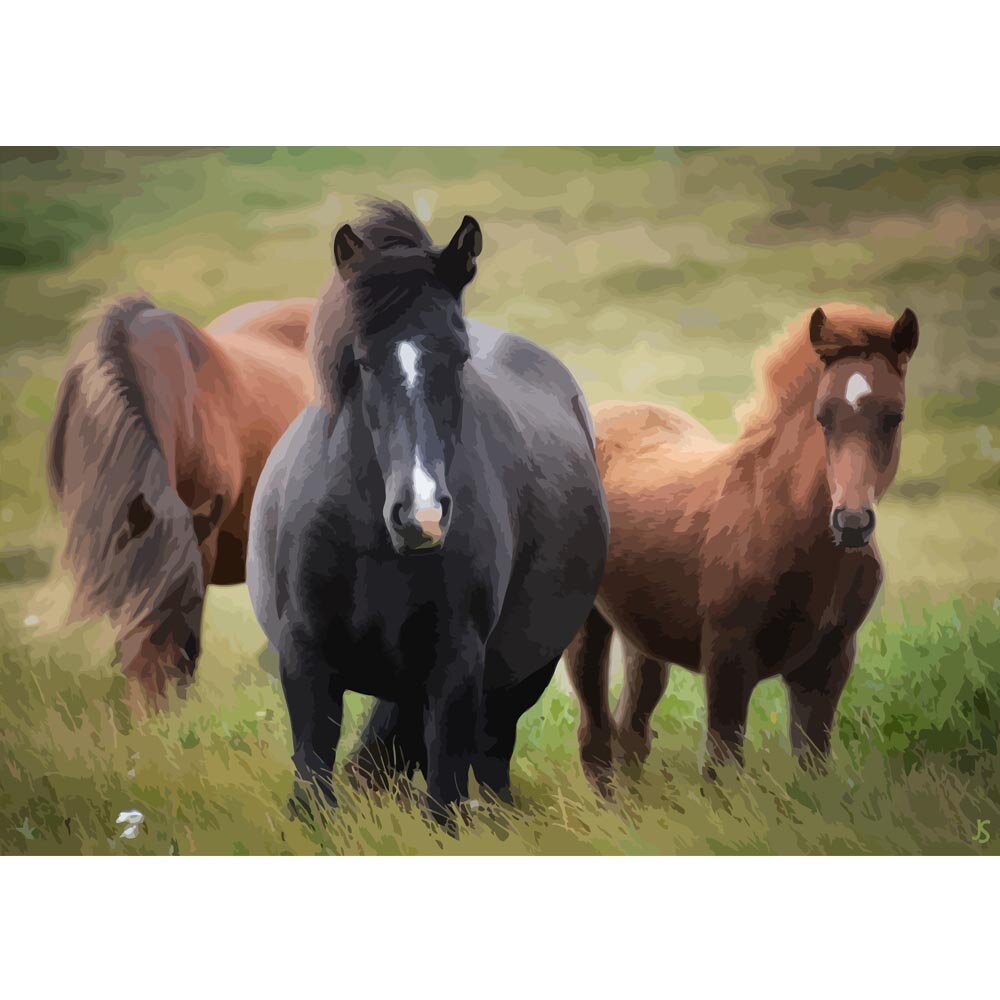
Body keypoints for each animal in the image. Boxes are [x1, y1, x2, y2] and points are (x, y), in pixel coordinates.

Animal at [247, 201, 609, 821]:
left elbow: (444, 797)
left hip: (520, 678)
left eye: (460, 358)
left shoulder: (457, 668)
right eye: (363, 362)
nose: (422, 516)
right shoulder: (304, 661)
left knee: (492, 761)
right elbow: (314, 784)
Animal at [565, 303, 919, 792]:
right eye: (823, 416)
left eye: (894, 416)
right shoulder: (727, 659)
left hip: (644, 636)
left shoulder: (828, 665)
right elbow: (721, 762)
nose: (851, 523)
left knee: (631, 729)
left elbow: (813, 764)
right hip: (586, 627)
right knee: (595, 736)